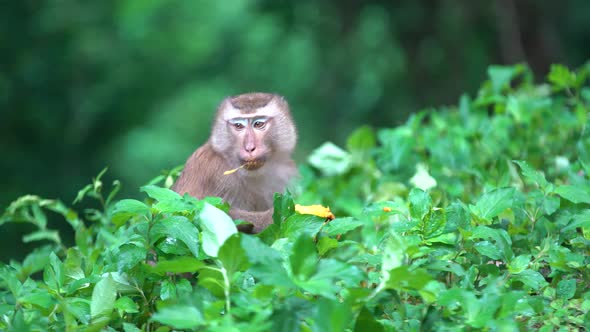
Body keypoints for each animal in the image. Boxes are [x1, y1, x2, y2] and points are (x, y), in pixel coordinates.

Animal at [173, 92, 298, 233]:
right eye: (239, 126)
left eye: (258, 124)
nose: (249, 148)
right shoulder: (213, 170)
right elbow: (188, 211)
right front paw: (270, 219)